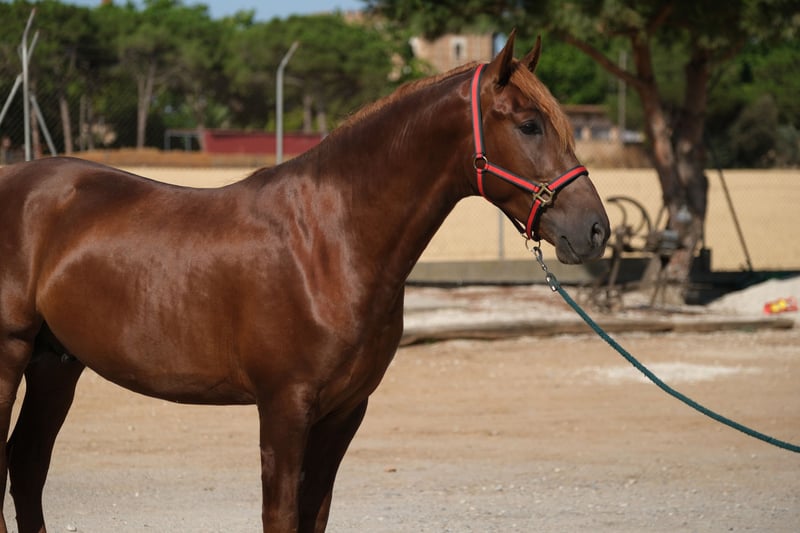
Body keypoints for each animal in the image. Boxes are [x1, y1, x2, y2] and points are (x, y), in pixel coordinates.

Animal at [0, 32, 609, 532]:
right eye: (529, 124)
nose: (595, 229)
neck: (327, 243)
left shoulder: (344, 411)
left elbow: (315, 512)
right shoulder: (284, 406)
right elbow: (282, 514)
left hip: (56, 363)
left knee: (26, 465)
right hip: (12, 356)